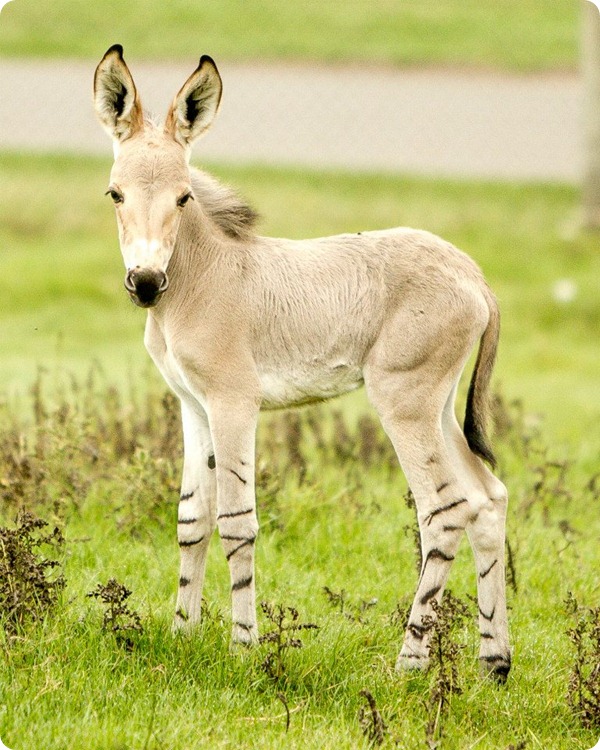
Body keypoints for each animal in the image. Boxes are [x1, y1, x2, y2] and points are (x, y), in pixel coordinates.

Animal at [94, 45, 510, 680]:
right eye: (116, 194)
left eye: (184, 197)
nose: (144, 284)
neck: (200, 279)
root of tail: (472, 273)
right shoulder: (192, 405)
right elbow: (192, 520)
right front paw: (181, 634)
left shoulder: (234, 403)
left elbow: (236, 522)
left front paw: (243, 649)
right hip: (438, 405)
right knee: (489, 498)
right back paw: (495, 664)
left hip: (404, 404)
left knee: (444, 511)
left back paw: (409, 664)